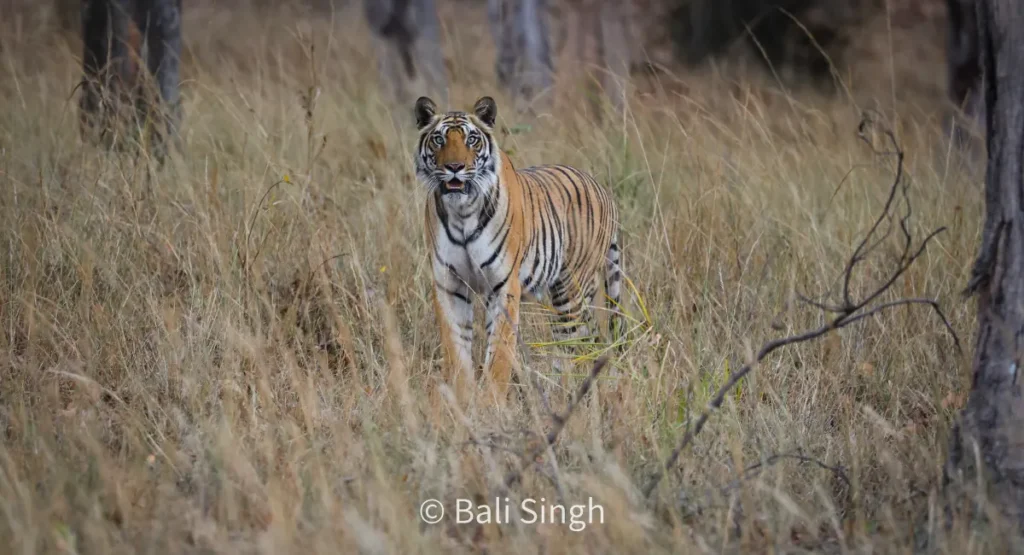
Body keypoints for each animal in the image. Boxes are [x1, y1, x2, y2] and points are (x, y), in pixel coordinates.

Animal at [413, 95, 624, 402]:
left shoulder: (503, 286)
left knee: (574, 343)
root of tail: (603, 189)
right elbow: (456, 347)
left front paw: (491, 402)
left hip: (570, 291)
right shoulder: (448, 283)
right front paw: (462, 397)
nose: (454, 167)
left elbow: (499, 352)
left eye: (472, 139)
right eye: (439, 139)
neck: (461, 212)